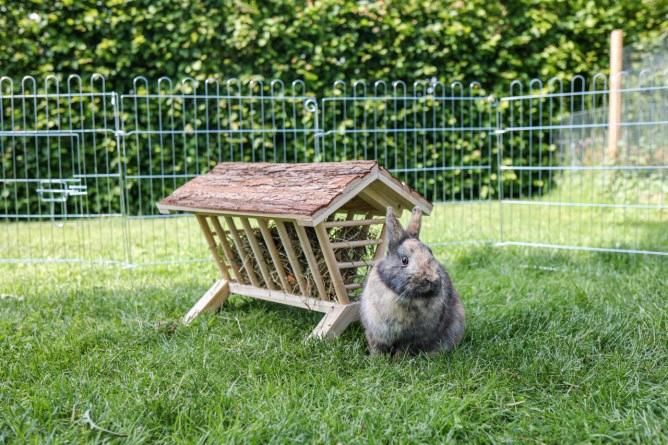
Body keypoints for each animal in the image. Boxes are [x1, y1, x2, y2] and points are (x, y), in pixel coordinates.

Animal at [360, 206, 464, 356]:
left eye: (431, 253)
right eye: (405, 260)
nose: (432, 279)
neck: (400, 296)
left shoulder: (410, 339)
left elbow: (403, 350)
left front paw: (398, 360)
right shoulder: (374, 332)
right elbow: (377, 347)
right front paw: (377, 359)